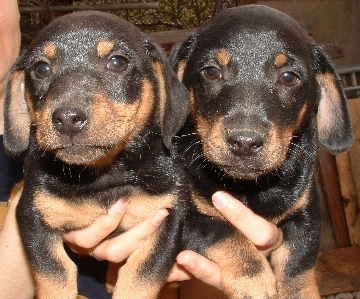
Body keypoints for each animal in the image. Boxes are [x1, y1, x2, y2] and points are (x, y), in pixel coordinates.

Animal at [3, 10, 191, 298]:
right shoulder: (32, 216)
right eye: (41, 69)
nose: (67, 119)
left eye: (117, 62)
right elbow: (56, 274)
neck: (103, 176)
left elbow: (141, 275)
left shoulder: (168, 216)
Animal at [171, 4, 352, 299]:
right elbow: (221, 230)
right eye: (211, 72)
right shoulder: (179, 218)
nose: (244, 142)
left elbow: (297, 267)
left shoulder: (306, 217)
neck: (249, 188)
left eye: (288, 77)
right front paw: (253, 281)